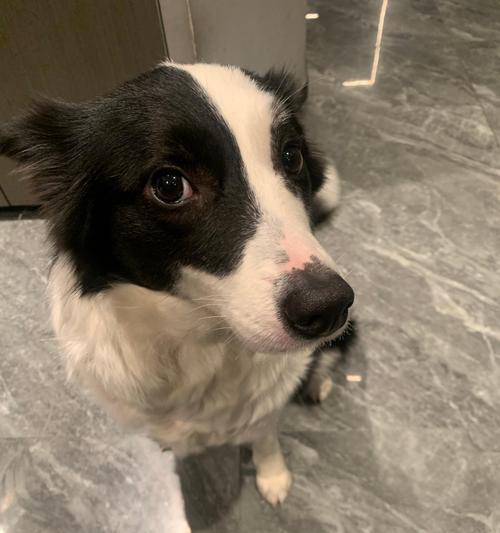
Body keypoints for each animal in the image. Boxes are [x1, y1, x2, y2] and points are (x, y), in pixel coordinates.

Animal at [0, 62, 354, 508]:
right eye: (170, 185)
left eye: (292, 156)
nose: (328, 307)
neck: (199, 337)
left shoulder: (266, 401)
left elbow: (265, 435)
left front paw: (273, 475)